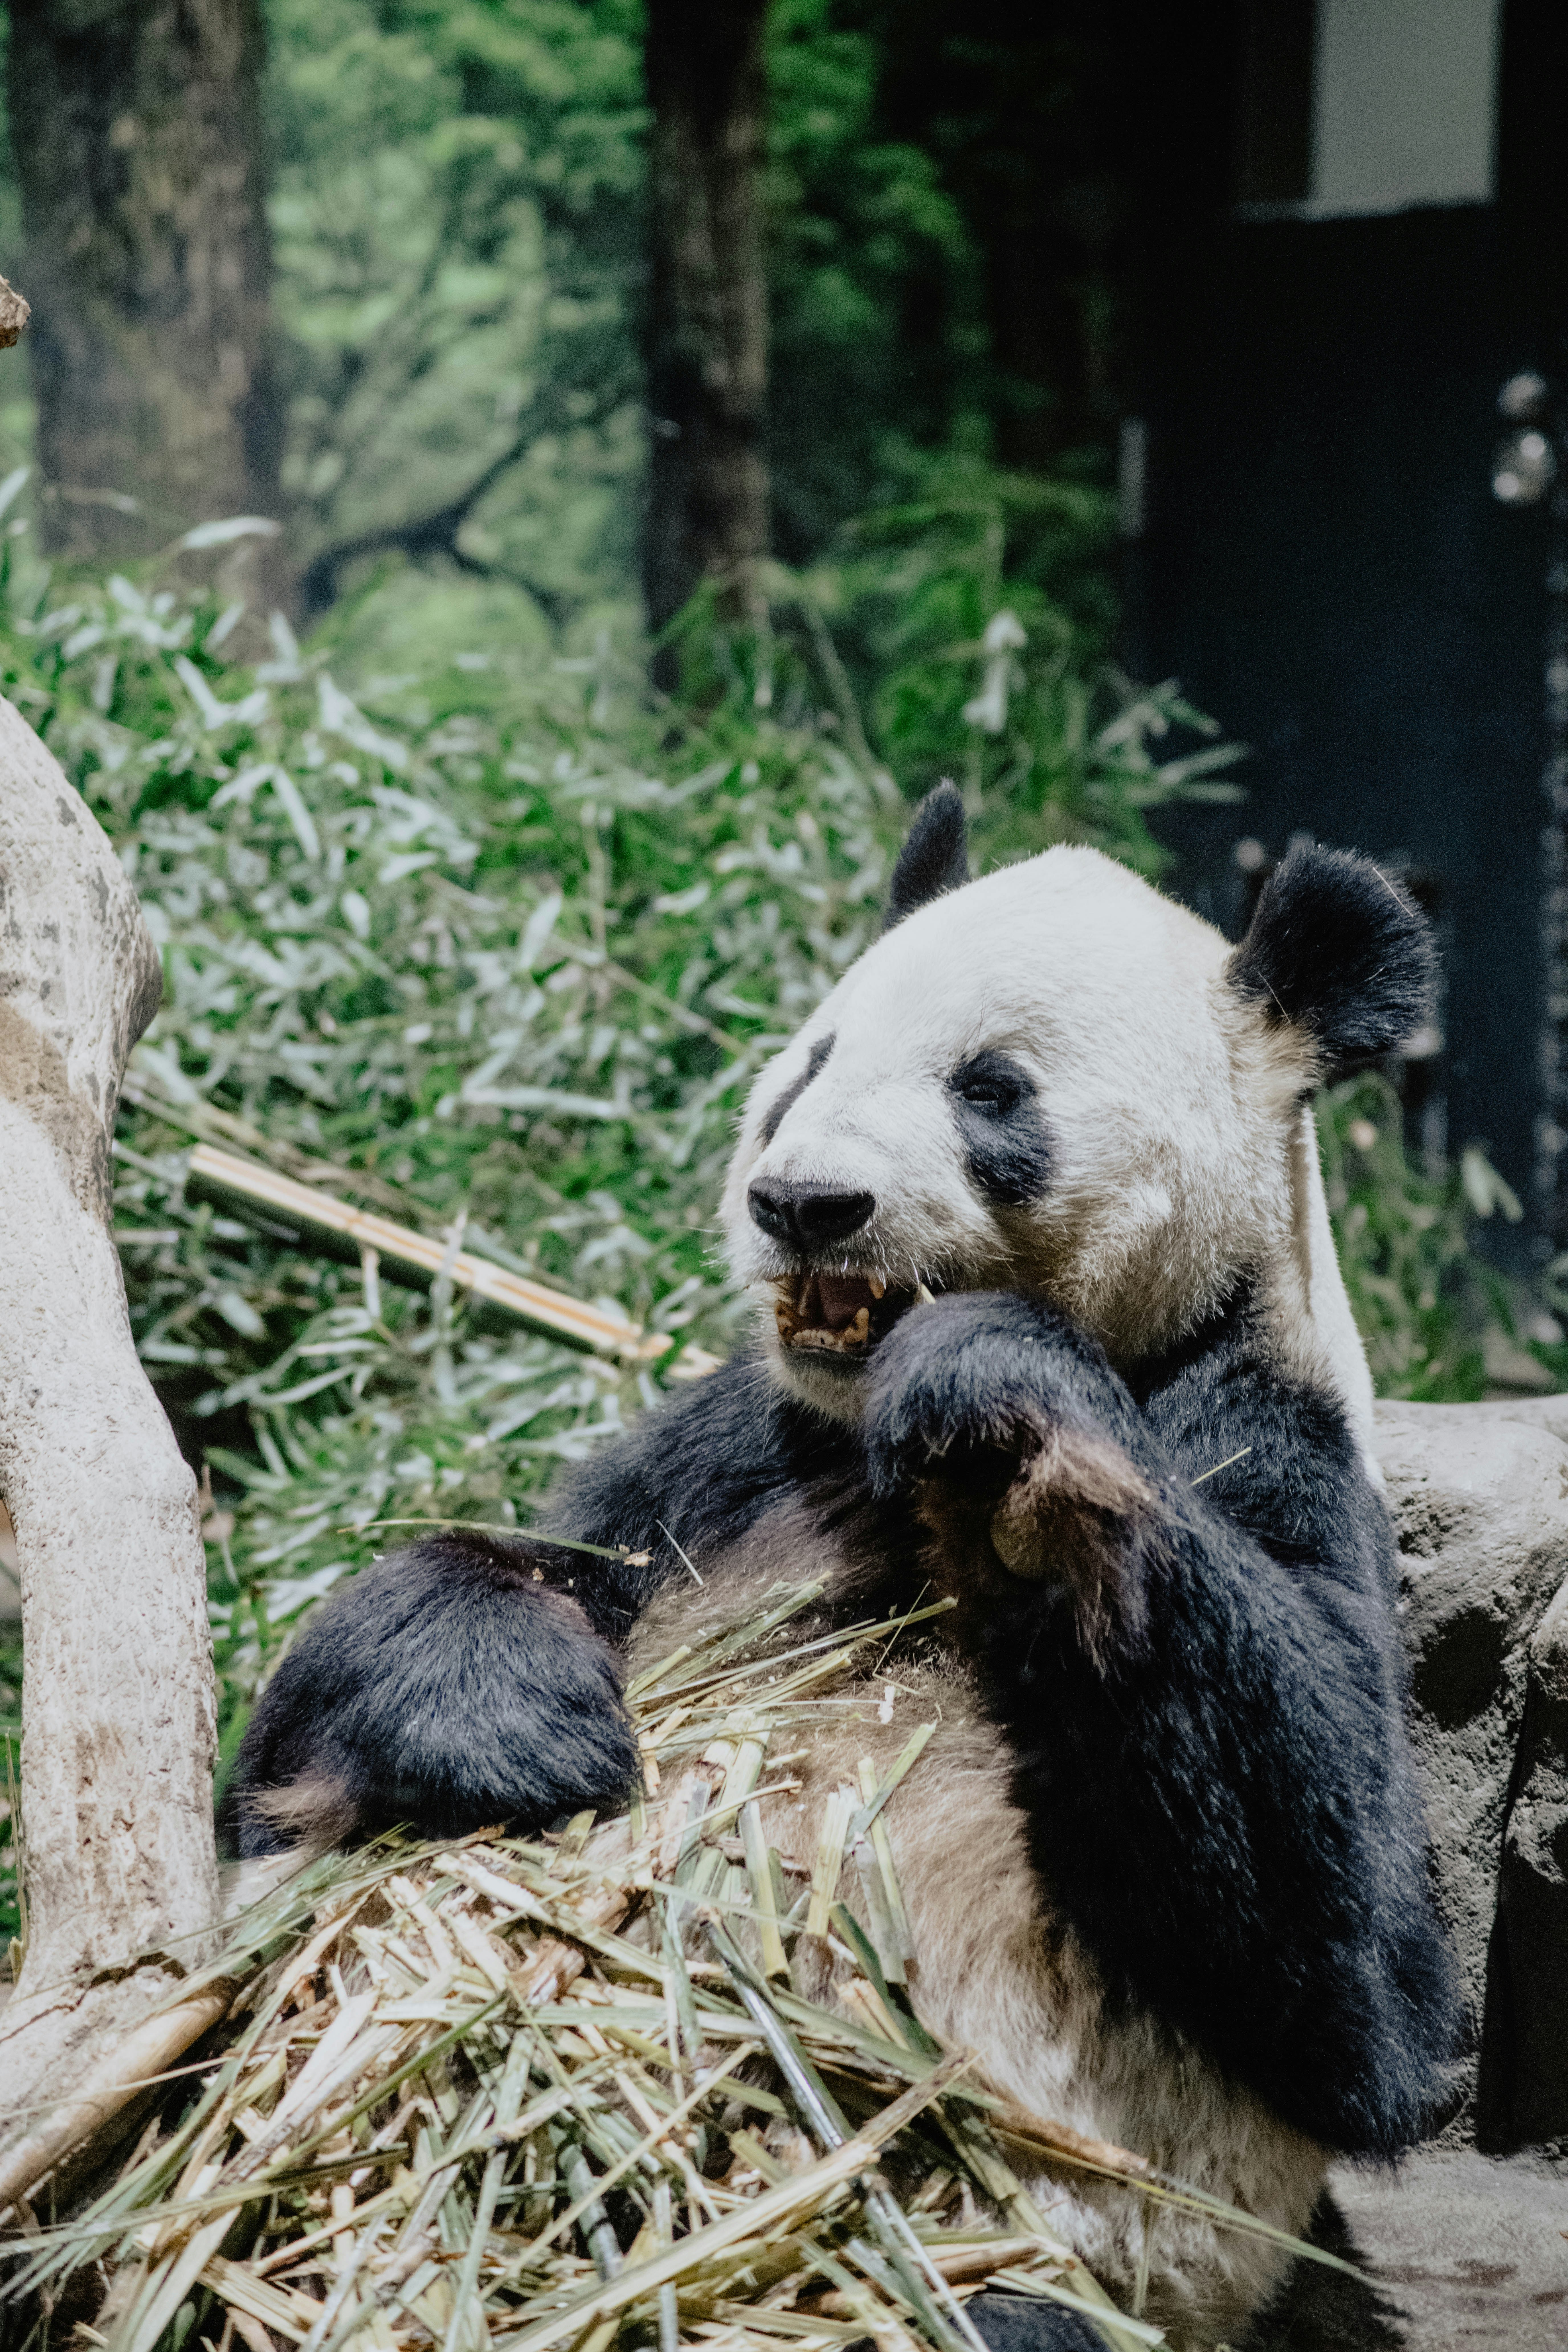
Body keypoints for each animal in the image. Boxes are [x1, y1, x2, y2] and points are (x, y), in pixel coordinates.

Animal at [224, 786, 1458, 2352]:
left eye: (989, 1090)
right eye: (809, 1060)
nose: (803, 1202)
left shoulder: (1261, 1433)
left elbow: (1353, 1987)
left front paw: (996, 1386)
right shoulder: (739, 1454)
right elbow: (432, 1631)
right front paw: (521, 1722)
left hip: (996, 2250)